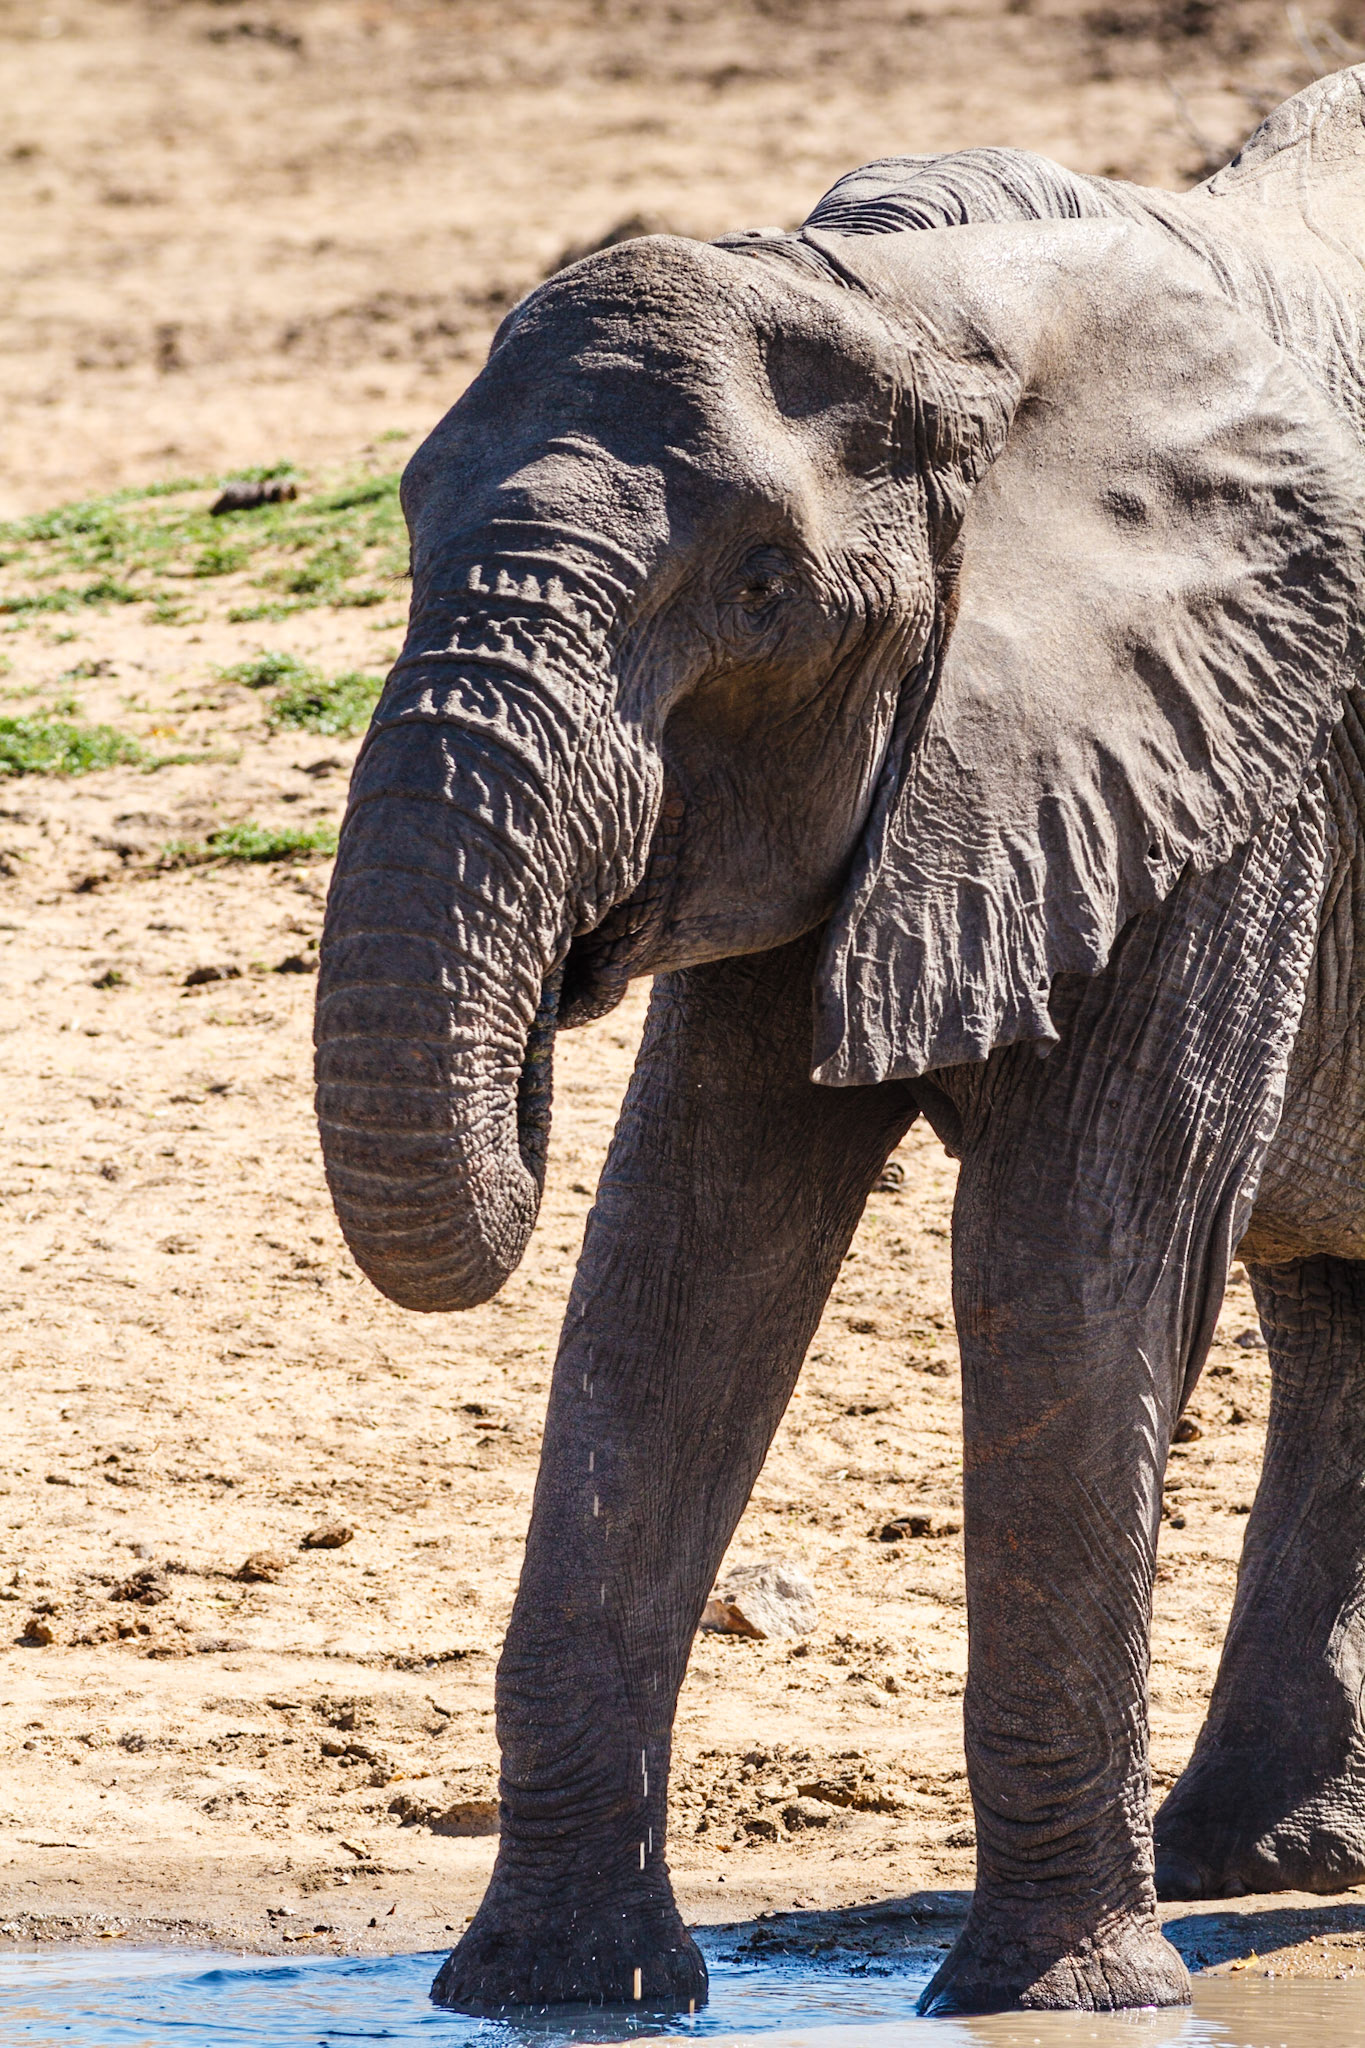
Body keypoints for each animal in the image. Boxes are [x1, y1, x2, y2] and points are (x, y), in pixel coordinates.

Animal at [315, 65, 1365, 2018]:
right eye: (407, 525)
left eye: (754, 593)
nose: (555, 995)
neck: (921, 308)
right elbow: (680, 1257)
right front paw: (554, 1995)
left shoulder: (1245, 753)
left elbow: (1070, 1253)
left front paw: (1062, 2003)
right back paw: (1266, 1863)